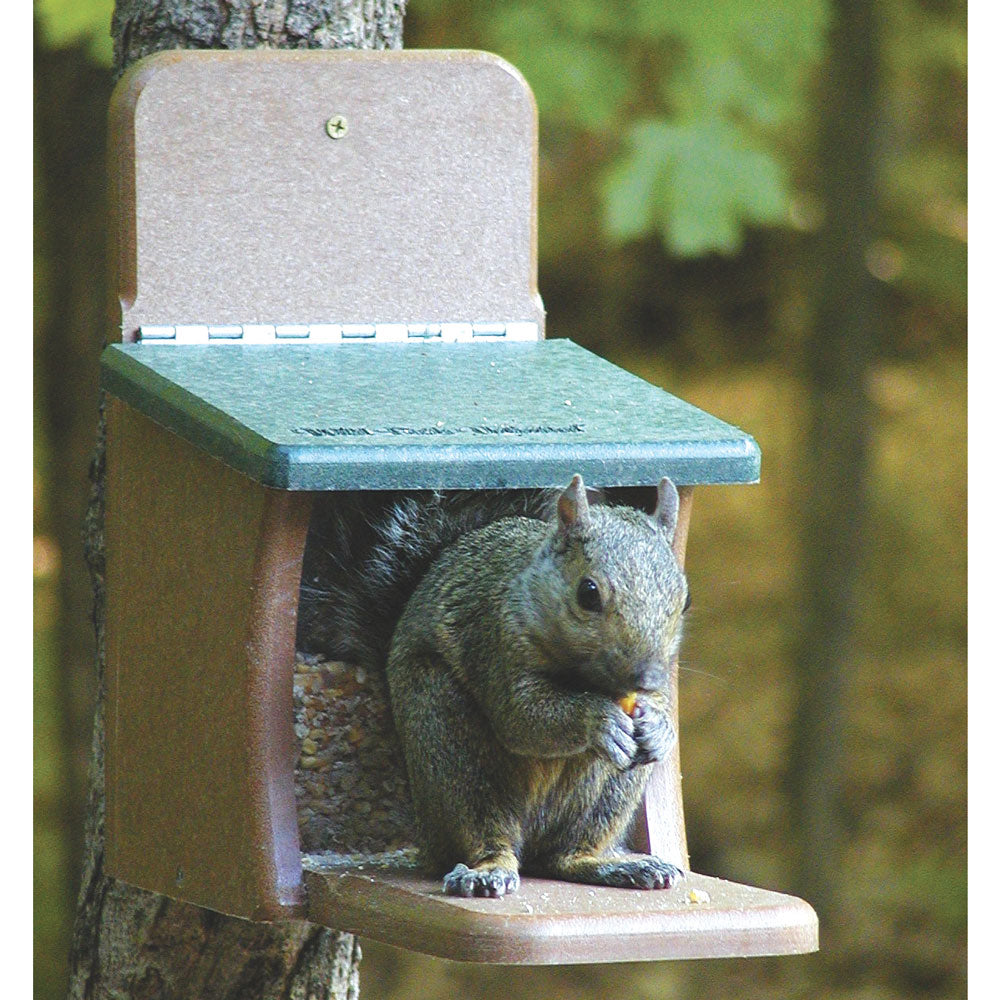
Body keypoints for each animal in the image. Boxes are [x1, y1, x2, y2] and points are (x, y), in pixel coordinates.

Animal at [297, 474, 689, 898]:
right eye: (588, 593)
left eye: (684, 600)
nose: (646, 677)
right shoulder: (494, 640)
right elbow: (522, 718)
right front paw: (598, 720)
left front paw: (659, 727)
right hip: (449, 746)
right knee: (485, 834)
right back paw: (486, 871)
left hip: (612, 792)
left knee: (565, 855)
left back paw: (614, 865)